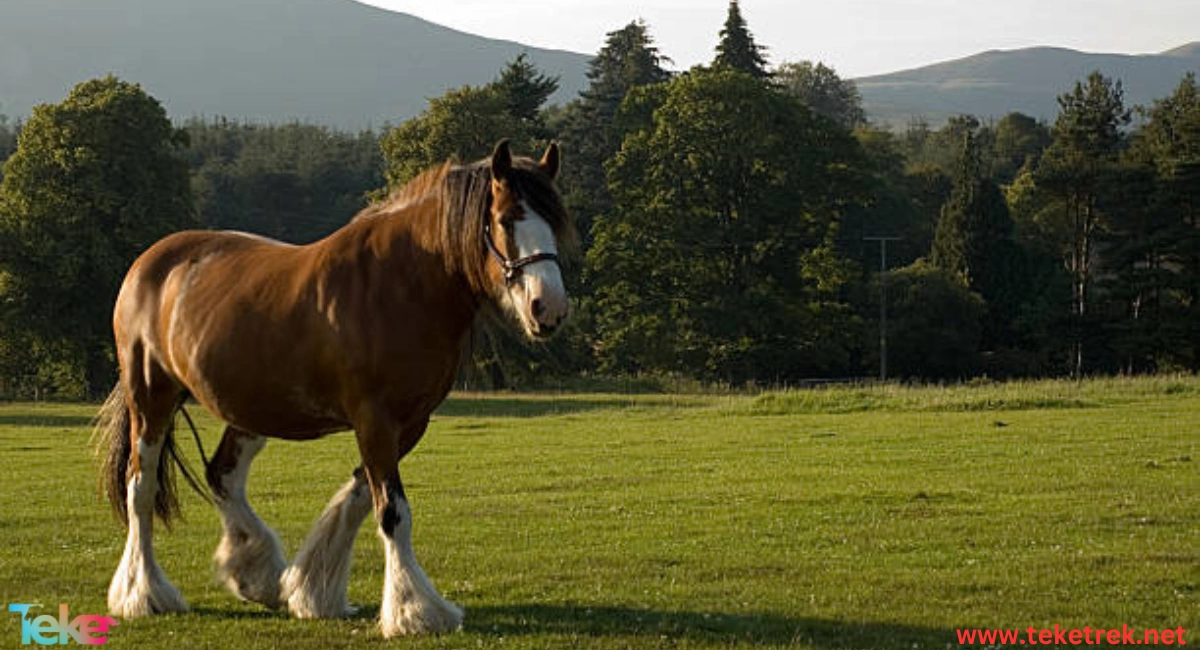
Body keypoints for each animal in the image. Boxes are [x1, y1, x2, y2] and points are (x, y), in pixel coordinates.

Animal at [93, 141, 571, 638]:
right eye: (507, 219)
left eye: (556, 220)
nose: (548, 308)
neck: (401, 284)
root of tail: (149, 262)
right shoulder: (374, 419)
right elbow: (392, 511)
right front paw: (415, 610)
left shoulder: (407, 424)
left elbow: (361, 497)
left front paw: (314, 589)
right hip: (152, 400)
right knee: (140, 487)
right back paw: (145, 594)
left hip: (249, 410)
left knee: (223, 475)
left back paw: (257, 572)